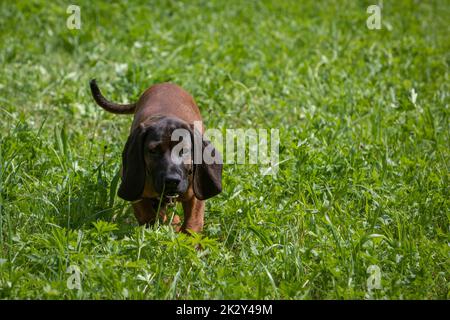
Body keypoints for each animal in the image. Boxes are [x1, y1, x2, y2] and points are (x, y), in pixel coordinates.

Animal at [89, 79, 222, 232]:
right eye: (153, 151)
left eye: (184, 150)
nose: (171, 181)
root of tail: (165, 83)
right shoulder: (137, 192)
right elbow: (148, 215)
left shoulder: (195, 194)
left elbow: (193, 223)